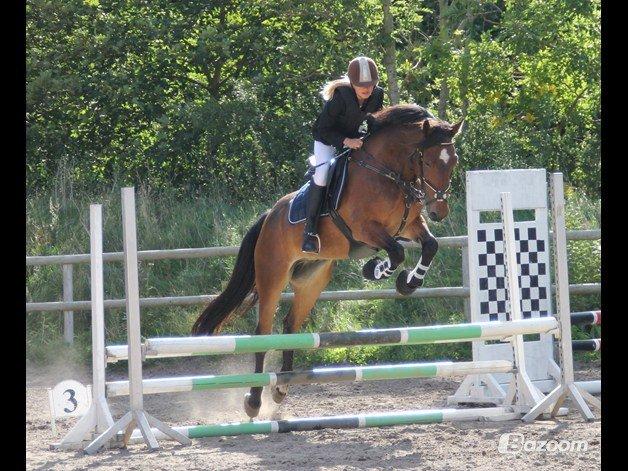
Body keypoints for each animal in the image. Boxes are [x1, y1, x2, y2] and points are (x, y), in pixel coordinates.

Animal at [191, 105, 462, 418]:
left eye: (453, 161)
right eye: (428, 161)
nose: (439, 211)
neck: (388, 172)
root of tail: (270, 216)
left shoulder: (409, 226)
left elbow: (430, 246)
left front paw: (408, 283)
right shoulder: (365, 229)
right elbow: (396, 253)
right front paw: (374, 269)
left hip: (313, 280)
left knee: (289, 326)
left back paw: (281, 387)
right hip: (272, 275)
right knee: (264, 332)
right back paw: (254, 401)